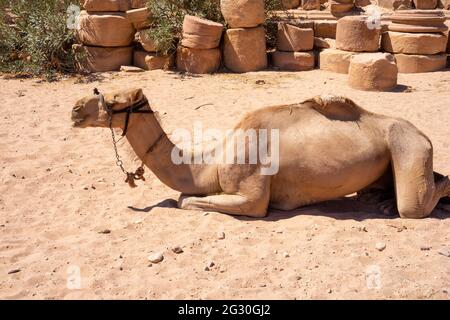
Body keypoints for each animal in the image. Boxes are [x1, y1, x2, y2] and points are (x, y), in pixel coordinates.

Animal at [71, 87, 450, 218]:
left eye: (114, 101)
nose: (75, 109)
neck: (210, 161)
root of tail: (423, 134)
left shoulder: (252, 197)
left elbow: (184, 200)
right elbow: (183, 196)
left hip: (410, 146)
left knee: (416, 202)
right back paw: (381, 203)